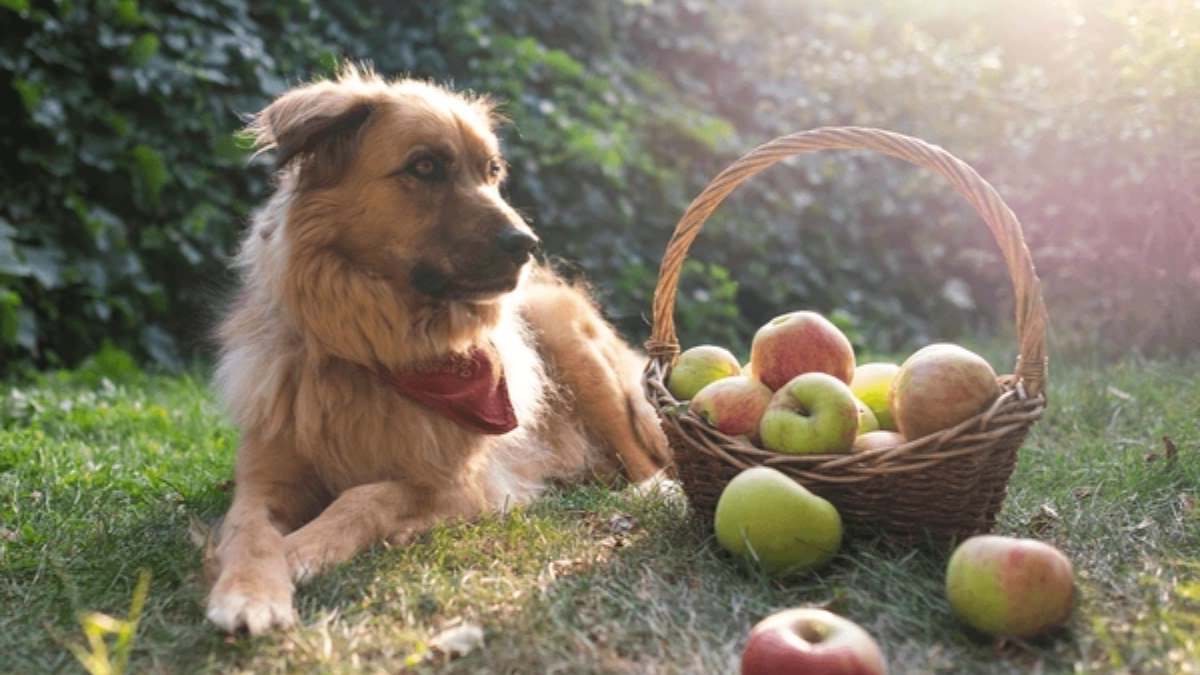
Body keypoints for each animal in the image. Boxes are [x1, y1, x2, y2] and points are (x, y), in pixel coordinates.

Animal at [206, 65, 676, 634]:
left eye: (491, 171)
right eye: (425, 166)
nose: (527, 244)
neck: (378, 353)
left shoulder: (465, 485)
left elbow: (369, 495)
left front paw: (302, 548)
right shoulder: (262, 478)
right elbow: (248, 530)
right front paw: (249, 590)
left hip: (570, 339)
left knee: (643, 460)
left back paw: (650, 491)